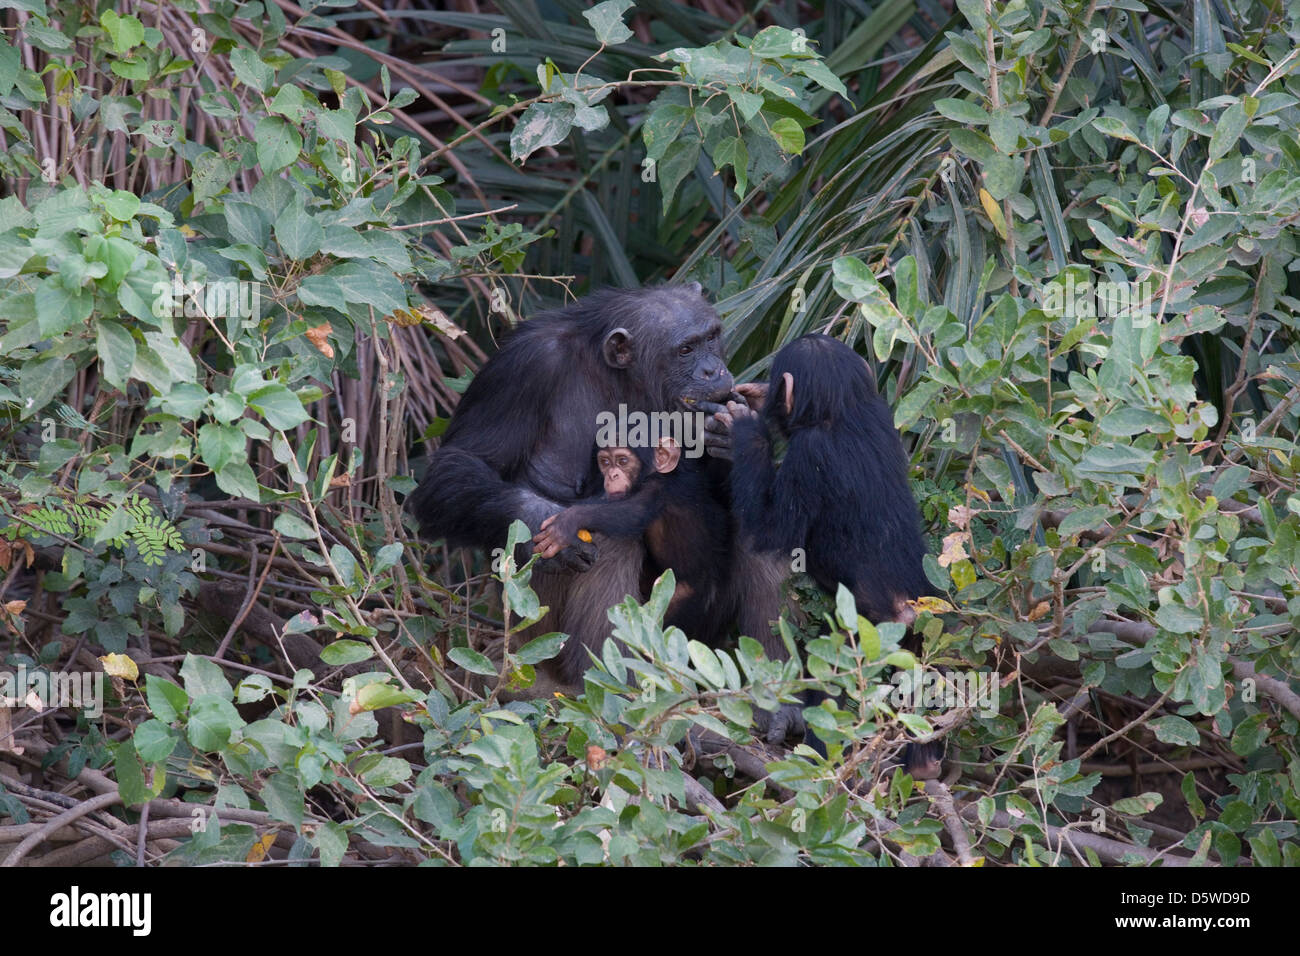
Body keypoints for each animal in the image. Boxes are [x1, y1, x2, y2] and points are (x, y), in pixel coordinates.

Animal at [527, 439, 733, 642]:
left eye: (623, 461)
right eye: (605, 462)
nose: (612, 476)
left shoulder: (657, 487)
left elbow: (633, 511)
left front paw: (566, 524)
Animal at [707, 335, 941, 780]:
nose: (764, 392)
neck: (842, 412)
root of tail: (915, 606)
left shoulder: (807, 455)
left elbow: (771, 528)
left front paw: (744, 428)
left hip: (872, 641)